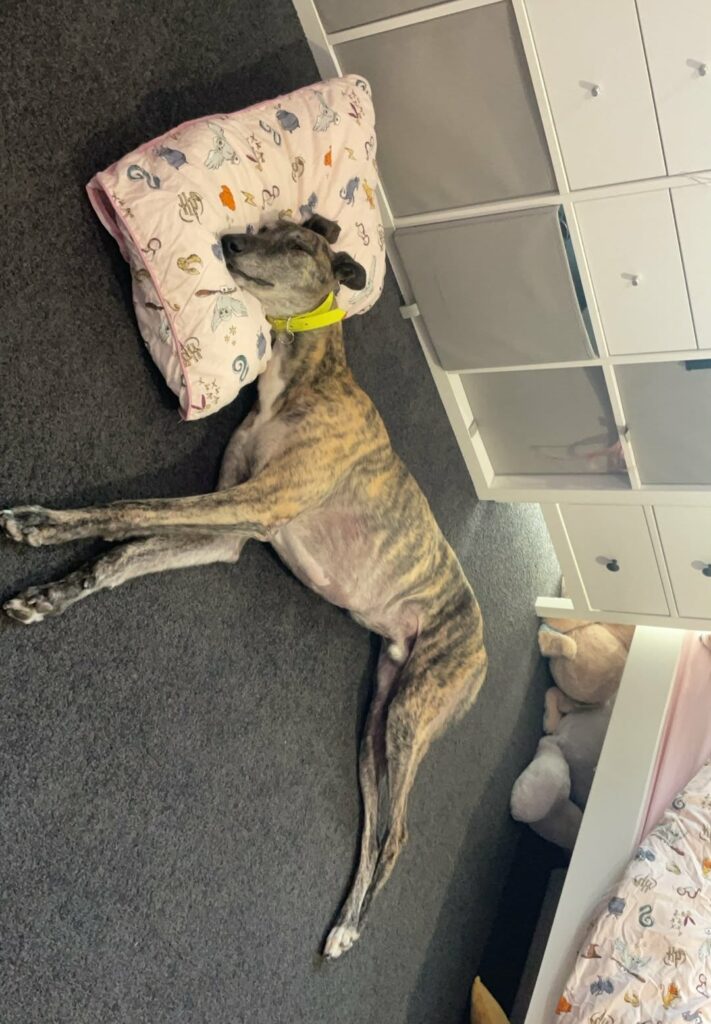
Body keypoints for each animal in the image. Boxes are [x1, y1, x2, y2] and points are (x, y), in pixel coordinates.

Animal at [1, 214, 487, 960]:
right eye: (264, 226)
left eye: (295, 244)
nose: (228, 244)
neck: (303, 381)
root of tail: (486, 648)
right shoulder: (234, 528)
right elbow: (126, 556)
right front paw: (49, 596)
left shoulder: (259, 503)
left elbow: (131, 511)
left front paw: (39, 525)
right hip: (377, 719)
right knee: (375, 824)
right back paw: (344, 922)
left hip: (415, 708)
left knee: (400, 833)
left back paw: (353, 928)